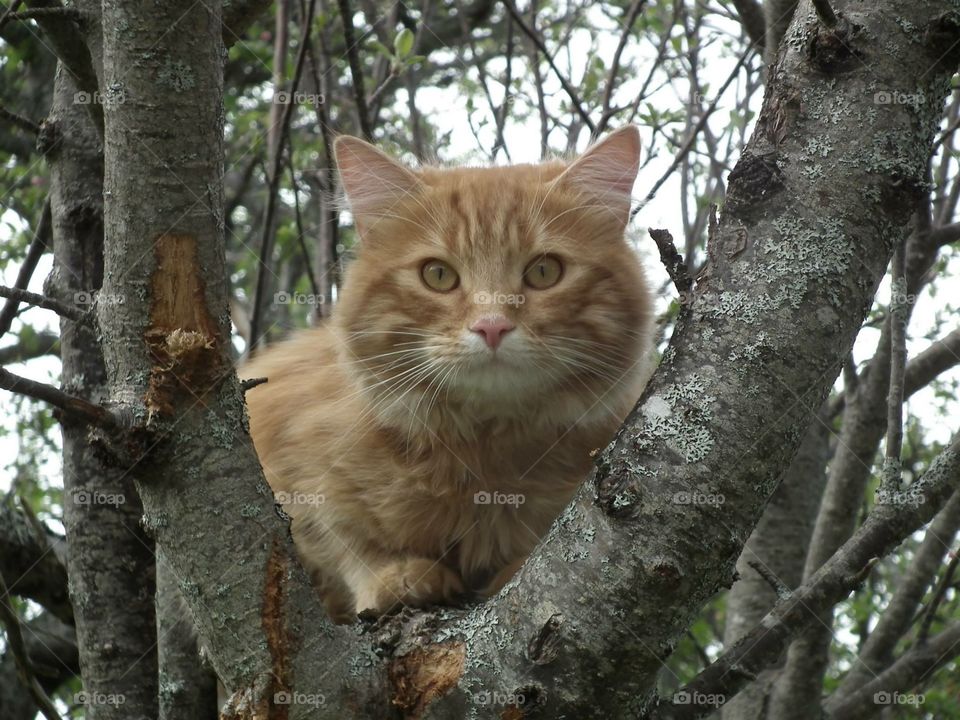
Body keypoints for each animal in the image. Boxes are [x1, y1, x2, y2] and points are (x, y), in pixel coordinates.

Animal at [244, 126, 656, 620]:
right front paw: (397, 575)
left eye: (544, 271)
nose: (492, 325)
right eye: (438, 275)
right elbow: (346, 542)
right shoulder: (290, 460)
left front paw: (513, 568)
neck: (483, 462)